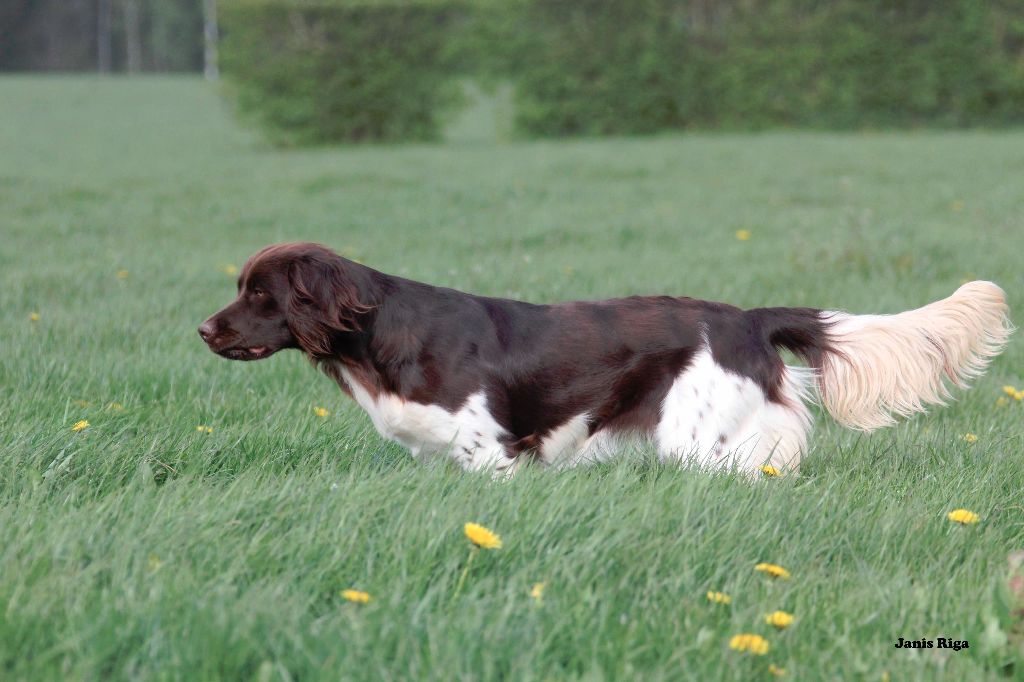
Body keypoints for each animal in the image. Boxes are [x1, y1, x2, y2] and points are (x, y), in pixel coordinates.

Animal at [199, 242, 1012, 476]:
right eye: (240, 287)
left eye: (261, 294)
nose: (203, 329)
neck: (385, 336)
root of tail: (749, 318)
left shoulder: (492, 451)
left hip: (702, 439)